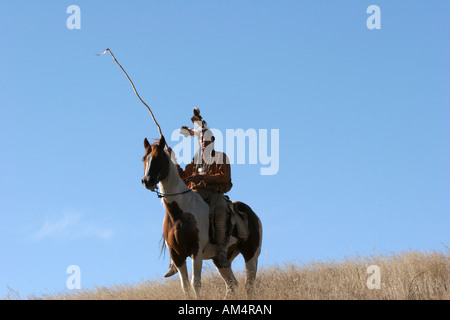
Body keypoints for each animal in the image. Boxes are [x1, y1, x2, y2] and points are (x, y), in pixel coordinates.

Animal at [139, 136, 262, 298]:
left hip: (251, 254)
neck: (179, 213)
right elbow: (185, 286)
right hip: (220, 260)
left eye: (159, 157)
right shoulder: (177, 254)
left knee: (249, 285)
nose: (147, 180)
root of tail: (254, 215)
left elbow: (195, 283)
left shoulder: (195, 250)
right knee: (232, 285)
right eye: (144, 158)